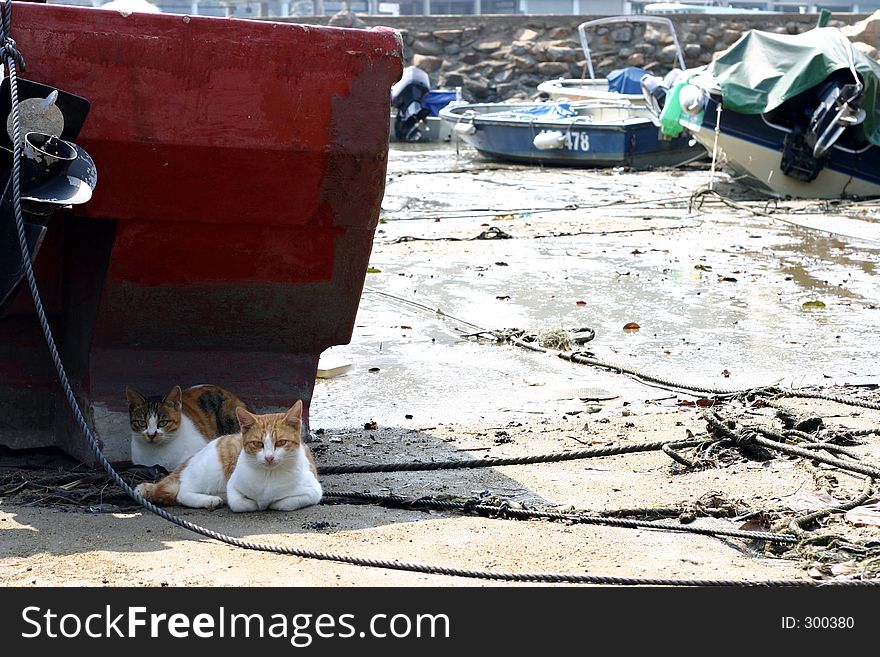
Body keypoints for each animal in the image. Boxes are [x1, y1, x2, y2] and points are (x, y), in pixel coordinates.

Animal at [134, 400, 320, 512]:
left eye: (281, 443)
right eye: (258, 444)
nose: (269, 458)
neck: (269, 476)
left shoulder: (313, 493)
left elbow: (282, 503)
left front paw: (269, 502)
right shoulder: (233, 487)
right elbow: (242, 503)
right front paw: (256, 503)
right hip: (211, 472)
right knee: (183, 492)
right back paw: (209, 500)